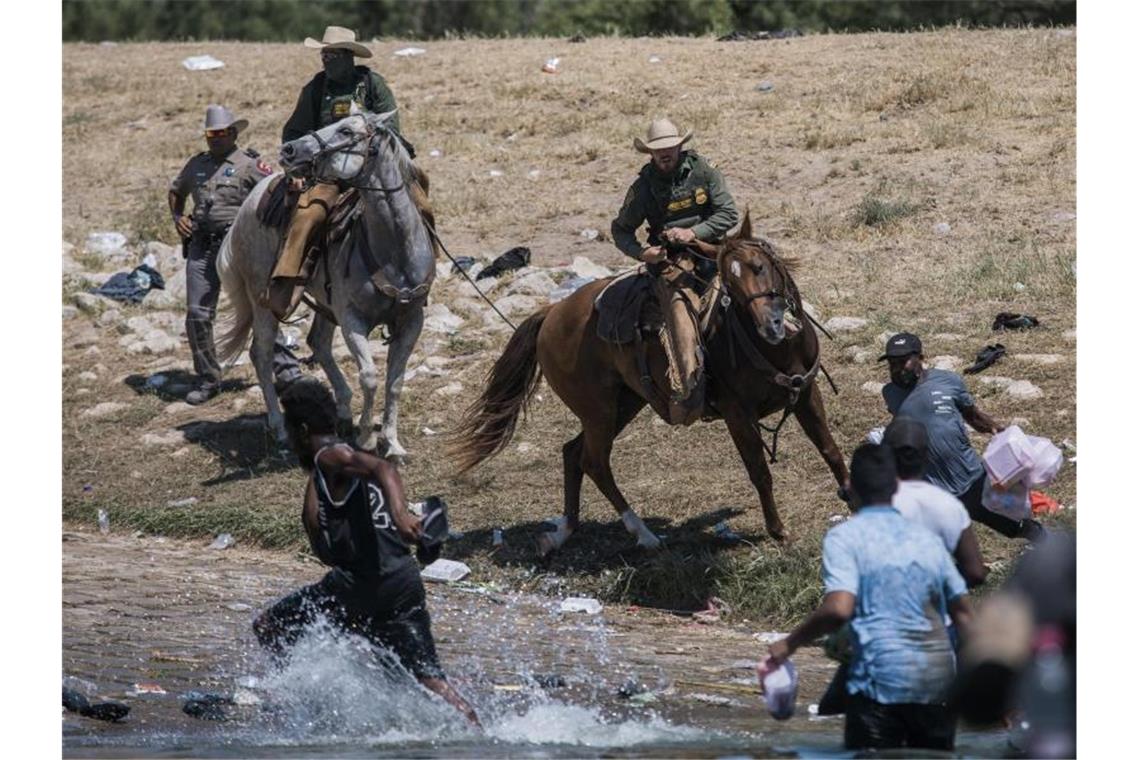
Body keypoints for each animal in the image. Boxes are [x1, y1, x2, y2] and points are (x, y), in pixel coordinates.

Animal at [214, 109, 430, 460]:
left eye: (346, 130)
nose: (289, 150)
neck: (393, 251)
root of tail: (248, 203)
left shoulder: (412, 319)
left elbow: (395, 381)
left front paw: (393, 443)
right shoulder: (352, 319)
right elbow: (370, 377)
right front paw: (366, 438)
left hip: (326, 305)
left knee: (318, 342)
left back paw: (342, 411)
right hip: (264, 301)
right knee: (261, 353)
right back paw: (279, 429)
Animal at [451, 214, 848, 553]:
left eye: (759, 267)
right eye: (729, 284)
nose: (772, 325)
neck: (776, 350)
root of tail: (550, 314)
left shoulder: (805, 394)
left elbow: (830, 449)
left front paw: (850, 495)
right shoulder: (738, 415)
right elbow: (760, 472)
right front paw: (778, 531)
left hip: (624, 404)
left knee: (573, 453)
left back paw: (564, 531)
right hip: (598, 411)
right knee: (595, 461)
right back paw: (643, 534)